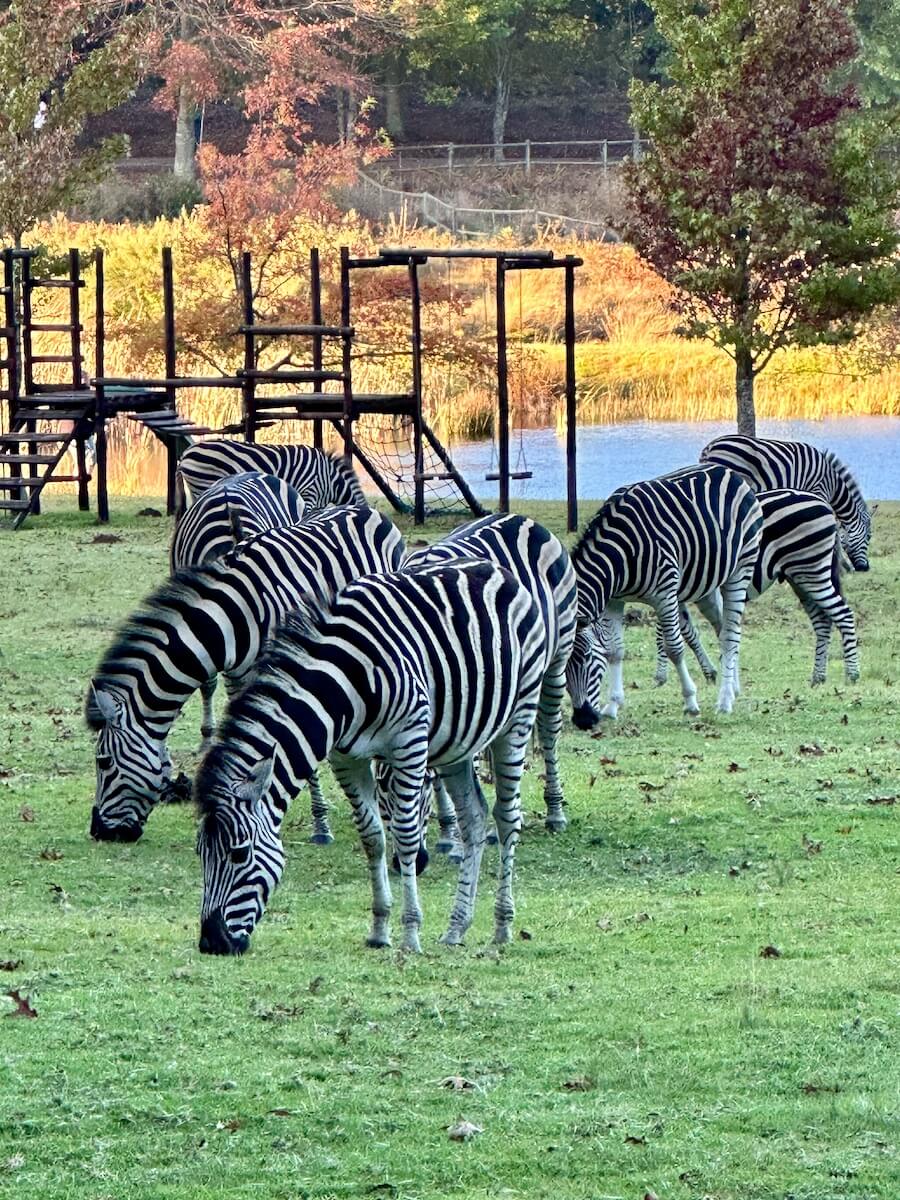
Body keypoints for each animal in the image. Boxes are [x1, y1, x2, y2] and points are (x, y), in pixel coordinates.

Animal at [85, 506, 404, 843]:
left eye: (103, 762)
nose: (99, 831)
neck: (230, 621)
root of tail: (361, 508)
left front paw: (320, 825)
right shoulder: (239, 677)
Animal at [195, 560, 548, 956]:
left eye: (239, 854)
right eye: (200, 854)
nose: (211, 942)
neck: (343, 687)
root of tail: (493, 568)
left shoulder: (408, 741)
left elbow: (406, 836)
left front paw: (410, 933)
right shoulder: (346, 758)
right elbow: (373, 838)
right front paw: (379, 929)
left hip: (518, 716)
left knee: (507, 818)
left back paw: (502, 926)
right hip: (458, 742)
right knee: (474, 817)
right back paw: (456, 927)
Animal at [566, 464, 763, 726]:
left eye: (587, 657)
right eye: (559, 668)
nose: (583, 720)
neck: (620, 558)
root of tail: (728, 471)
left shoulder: (665, 594)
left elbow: (674, 649)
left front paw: (690, 701)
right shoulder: (613, 601)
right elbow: (614, 650)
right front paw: (613, 705)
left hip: (741, 568)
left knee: (731, 635)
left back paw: (724, 702)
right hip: (706, 585)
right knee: (722, 628)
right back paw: (734, 689)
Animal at [652, 489, 859, 688]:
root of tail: (822, 503)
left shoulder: (665, 585)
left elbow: (665, 632)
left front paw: (661, 676)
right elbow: (687, 632)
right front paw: (708, 672)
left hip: (812, 572)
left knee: (844, 614)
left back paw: (852, 675)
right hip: (801, 578)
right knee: (823, 621)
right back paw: (818, 677)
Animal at [700, 435, 874, 572]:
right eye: (869, 536)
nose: (865, 568)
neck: (832, 484)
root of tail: (710, 447)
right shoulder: (818, 492)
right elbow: (834, 531)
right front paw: (841, 565)